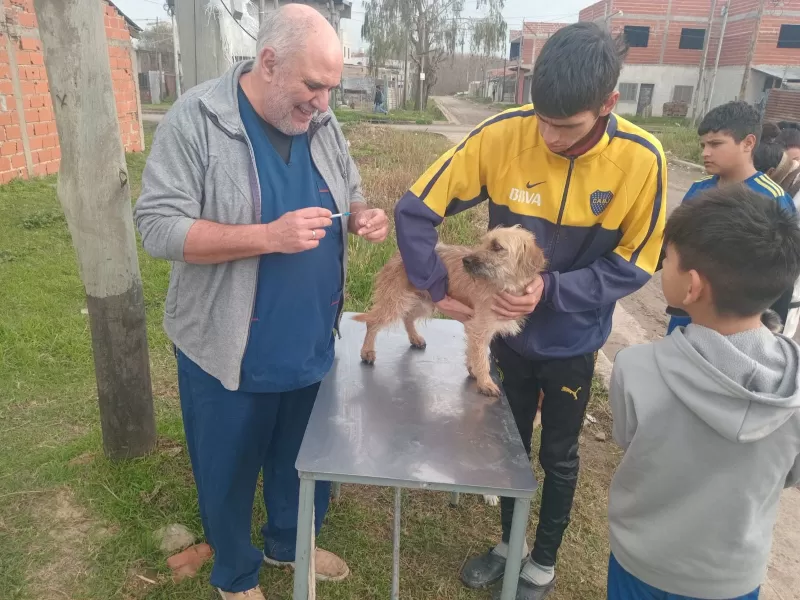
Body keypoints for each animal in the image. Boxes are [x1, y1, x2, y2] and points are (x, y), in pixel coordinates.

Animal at [354, 223, 548, 396]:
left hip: (424, 302)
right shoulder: (479, 328)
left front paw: (474, 371)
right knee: (372, 322)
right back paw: (367, 351)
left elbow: (473, 352)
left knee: (407, 318)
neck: (503, 286)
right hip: (396, 302)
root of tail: (399, 254)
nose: (466, 260)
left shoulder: (476, 328)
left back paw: (415, 338)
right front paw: (485, 382)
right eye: (484, 242)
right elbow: (481, 358)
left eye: (497, 246)